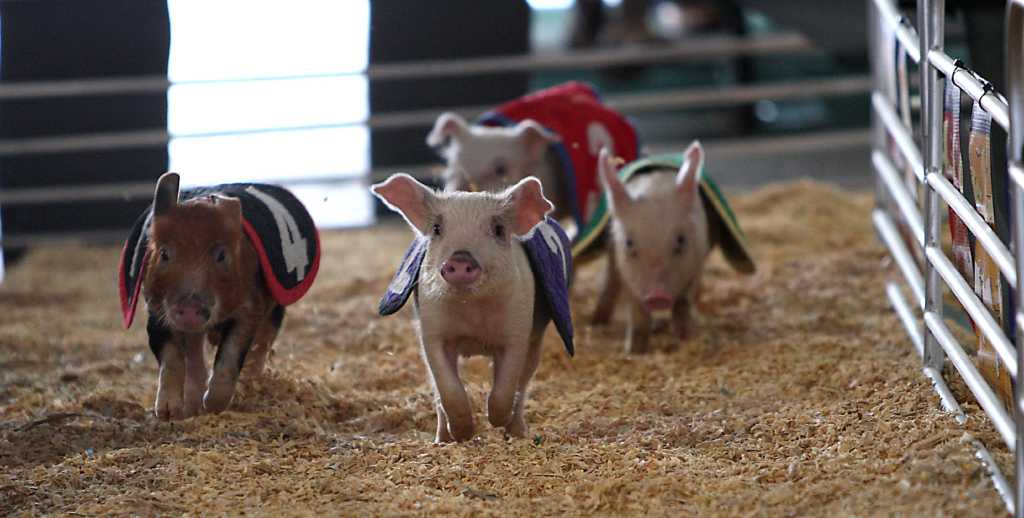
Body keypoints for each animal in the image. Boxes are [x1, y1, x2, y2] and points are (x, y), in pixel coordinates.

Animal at [120, 172, 320, 419]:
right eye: (165, 253)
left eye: (221, 255)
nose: (190, 306)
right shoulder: (155, 309)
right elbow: (171, 357)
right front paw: (168, 413)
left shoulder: (250, 309)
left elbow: (231, 354)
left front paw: (213, 406)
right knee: (195, 356)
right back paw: (192, 407)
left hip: (276, 309)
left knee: (261, 345)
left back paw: (248, 388)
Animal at [372, 173, 574, 442]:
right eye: (437, 229)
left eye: (498, 229)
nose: (460, 259)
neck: (473, 316)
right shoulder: (432, 332)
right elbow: (448, 388)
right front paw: (463, 434)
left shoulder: (517, 331)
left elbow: (505, 387)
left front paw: (496, 421)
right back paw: (441, 439)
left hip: (536, 338)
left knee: (523, 384)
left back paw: (516, 432)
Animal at [591, 142, 713, 354]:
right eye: (629, 243)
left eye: (681, 240)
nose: (657, 296)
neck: (655, 190)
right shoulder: (627, 274)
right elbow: (637, 311)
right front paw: (633, 351)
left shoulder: (697, 263)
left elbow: (683, 303)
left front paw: (686, 338)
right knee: (610, 284)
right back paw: (596, 321)